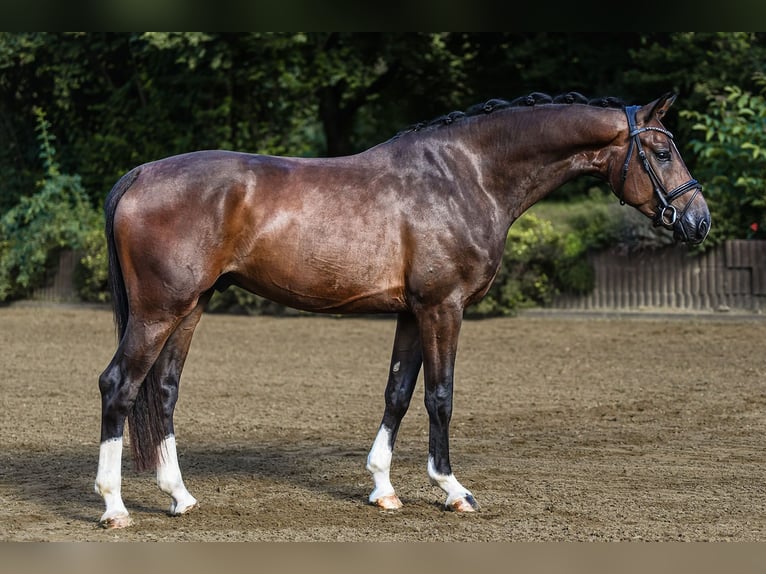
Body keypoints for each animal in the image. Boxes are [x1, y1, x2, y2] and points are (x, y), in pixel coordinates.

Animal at [96, 92, 712, 528]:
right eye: (662, 152)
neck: (466, 176)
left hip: (191, 306)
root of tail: (141, 173)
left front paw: (384, 489)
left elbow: (397, 391)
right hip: (159, 310)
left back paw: (179, 496)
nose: (698, 220)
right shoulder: (444, 308)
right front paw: (453, 489)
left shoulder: (413, 312)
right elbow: (440, 395)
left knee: (164, 389)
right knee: (119, 385)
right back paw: (114, 507)